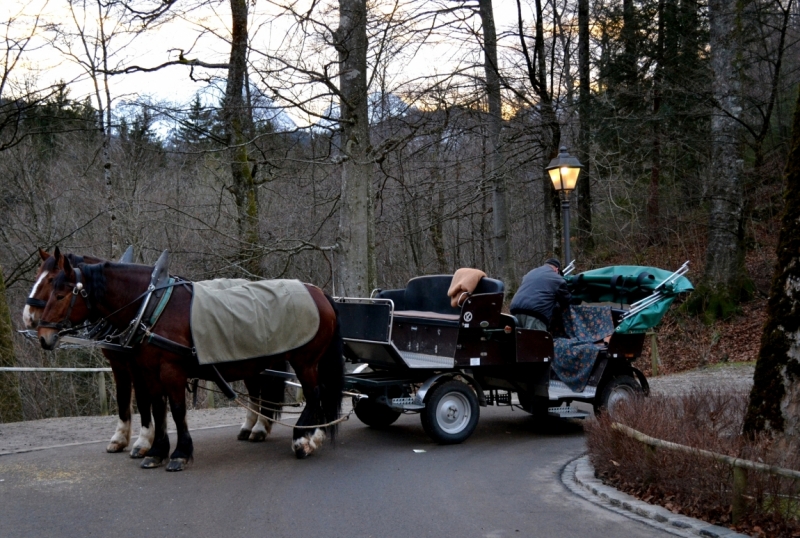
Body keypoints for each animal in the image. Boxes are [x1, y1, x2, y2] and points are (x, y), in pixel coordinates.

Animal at [23, 248, 155, 456]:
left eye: (51, 279)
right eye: (37, 276)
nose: (27, 317)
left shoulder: (137, 364)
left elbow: (144, 397)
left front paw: (145, 440)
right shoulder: (118, 364)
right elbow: (122, 396)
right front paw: (119, 438)